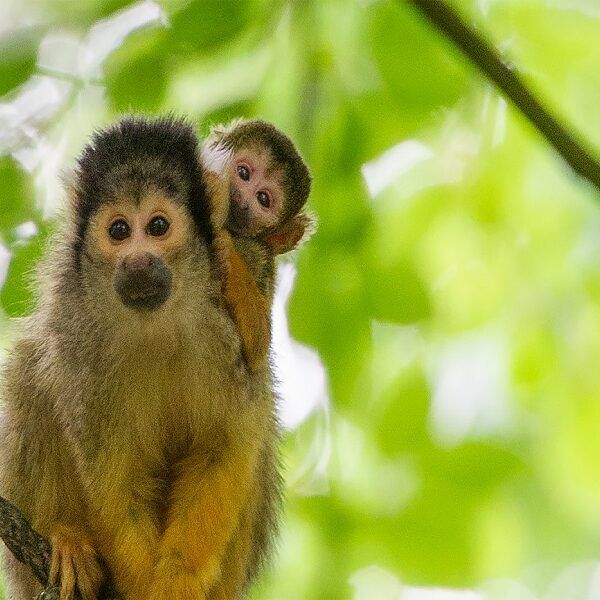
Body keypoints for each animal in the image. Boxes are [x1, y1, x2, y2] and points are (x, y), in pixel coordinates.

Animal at [203, 119, 314, 372]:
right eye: (243, 173)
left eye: (263, 198)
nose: (241, 198)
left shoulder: (262, 259)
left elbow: (257, 343)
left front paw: (227, 251)